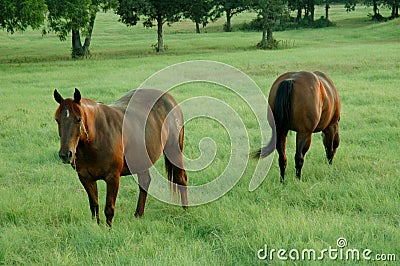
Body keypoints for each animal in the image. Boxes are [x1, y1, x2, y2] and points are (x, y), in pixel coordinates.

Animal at [53, 88, 189, 225]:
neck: (97, 136)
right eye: (57, 120)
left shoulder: (113, 177)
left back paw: (185, 211)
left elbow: (109, 208)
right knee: (145, 182)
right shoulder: (85, 178)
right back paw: (138, 214)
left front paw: (109, 228)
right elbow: (94, 206)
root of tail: (169, 98)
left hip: (174, 150)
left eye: (79, 119)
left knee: (181, 178)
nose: (65, 154)